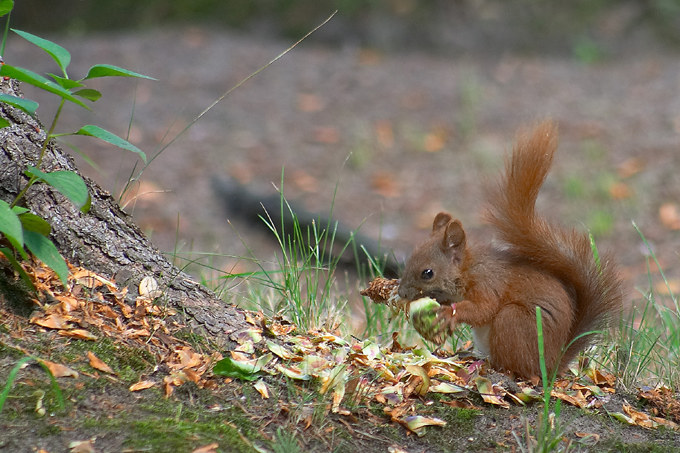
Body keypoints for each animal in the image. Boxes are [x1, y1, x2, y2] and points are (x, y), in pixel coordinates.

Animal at [396, 121, 624, 378]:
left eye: (427, 273)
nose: (401, 293)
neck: (467, 270)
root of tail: (553, 365)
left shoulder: (488, 284)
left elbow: (482, 309)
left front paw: (449, 313)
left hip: (512, 321)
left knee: (516, 365)